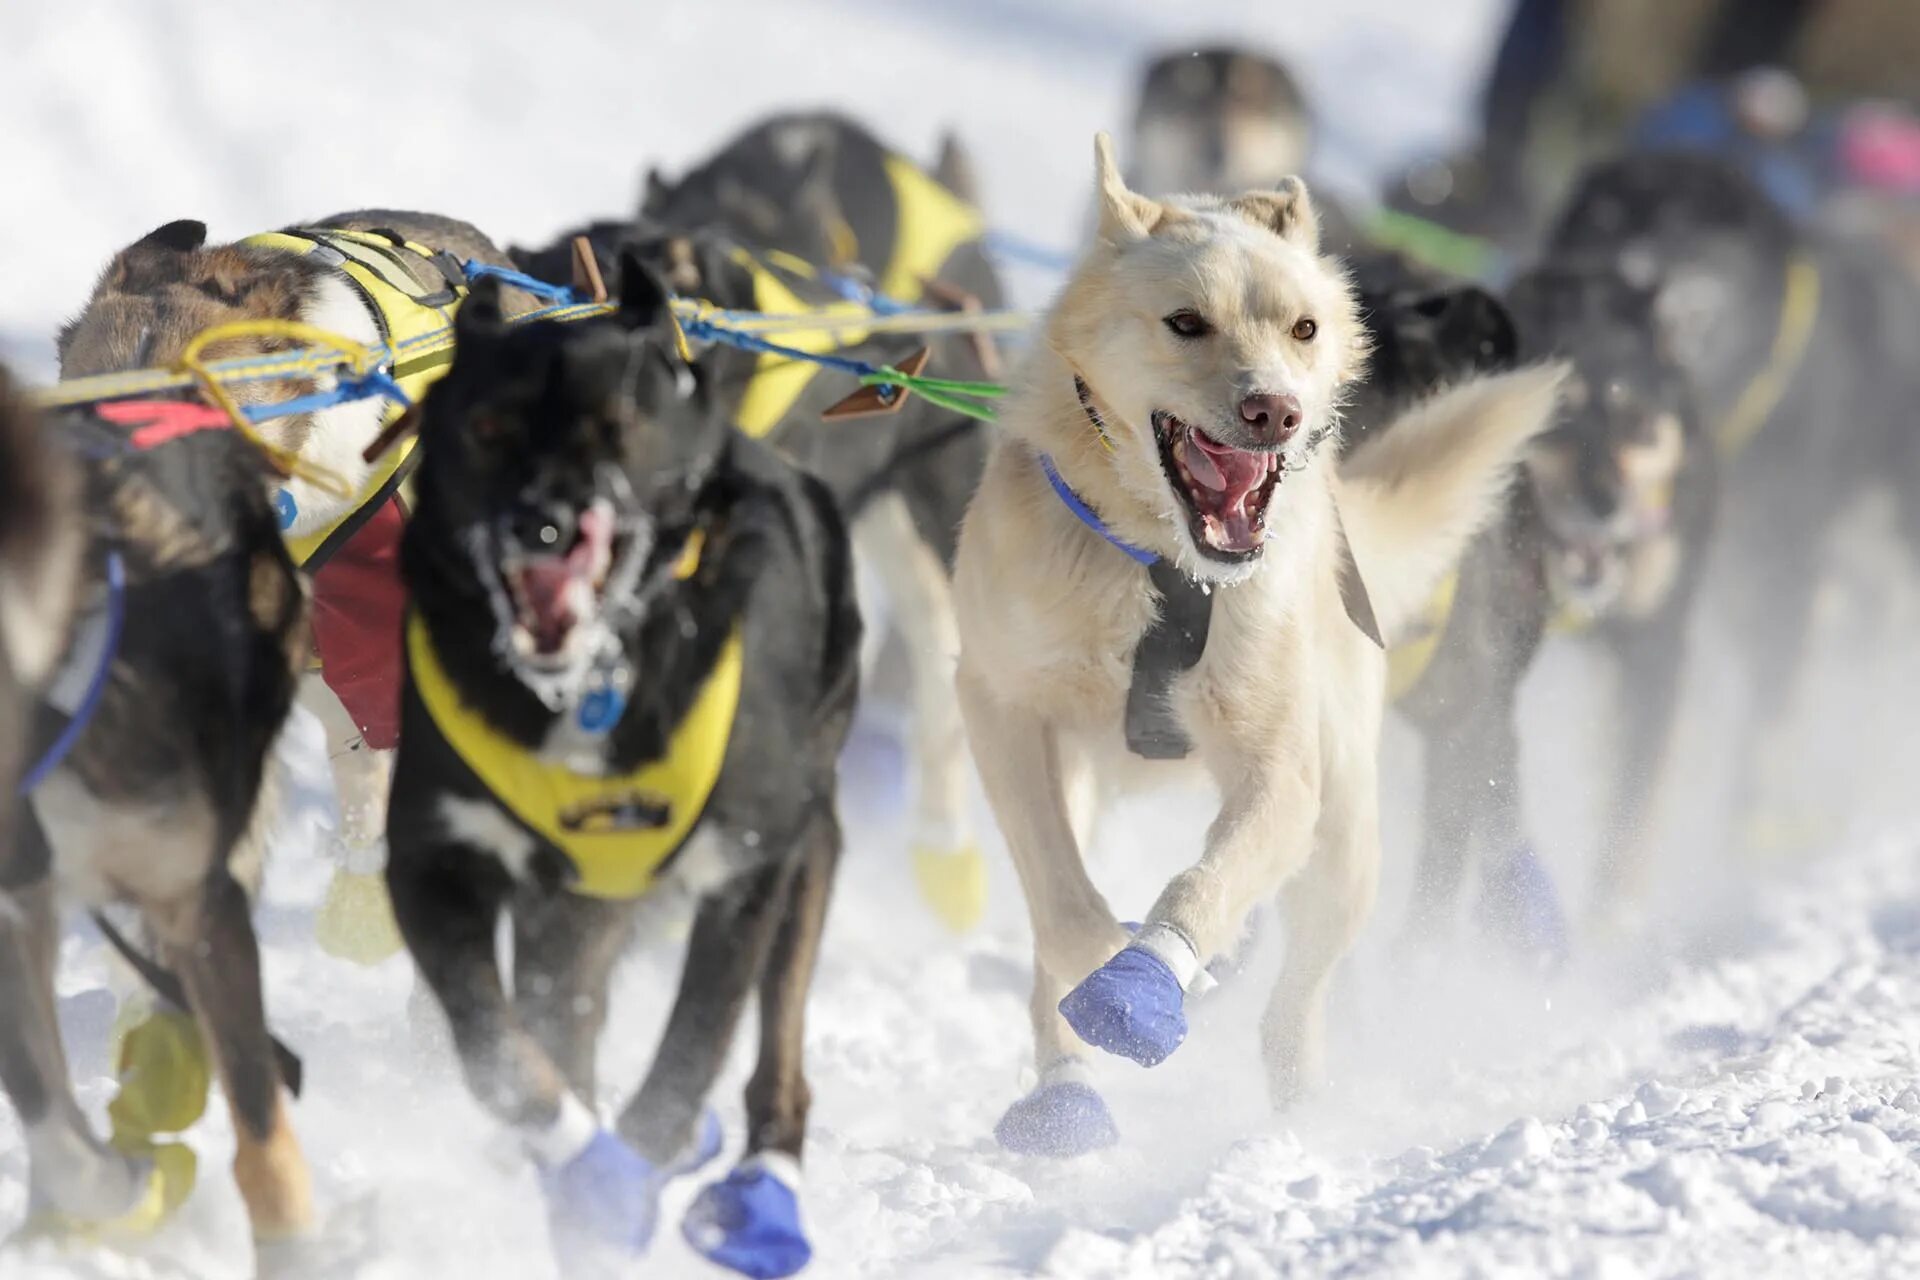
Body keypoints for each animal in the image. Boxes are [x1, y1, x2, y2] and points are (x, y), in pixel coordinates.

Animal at [385, 262, 860, 1280]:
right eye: (489, 427)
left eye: (617, 427)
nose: (541, 527)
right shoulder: (434, 861)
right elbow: (499, 1050)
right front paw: (582, 1169)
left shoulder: (746, 869)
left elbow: (693, 1045)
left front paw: (630, 1171)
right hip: (574, 908)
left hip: (807, 846)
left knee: (778, 1045)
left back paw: (759, 1188)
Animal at [952, 135, 1566, 1159]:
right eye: (1186, 323)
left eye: (1304, 328)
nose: (1273, 410)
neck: (1161, 568)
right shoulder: (1002, 715)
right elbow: (1066, 912)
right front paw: (1118, 976)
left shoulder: (1281, 773)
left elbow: (1204, 886)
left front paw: (1156, 973)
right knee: (1057, 926)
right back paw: (1065, 1094)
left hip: (1347, 838)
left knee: (1298, 1002)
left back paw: (1298, 1115)